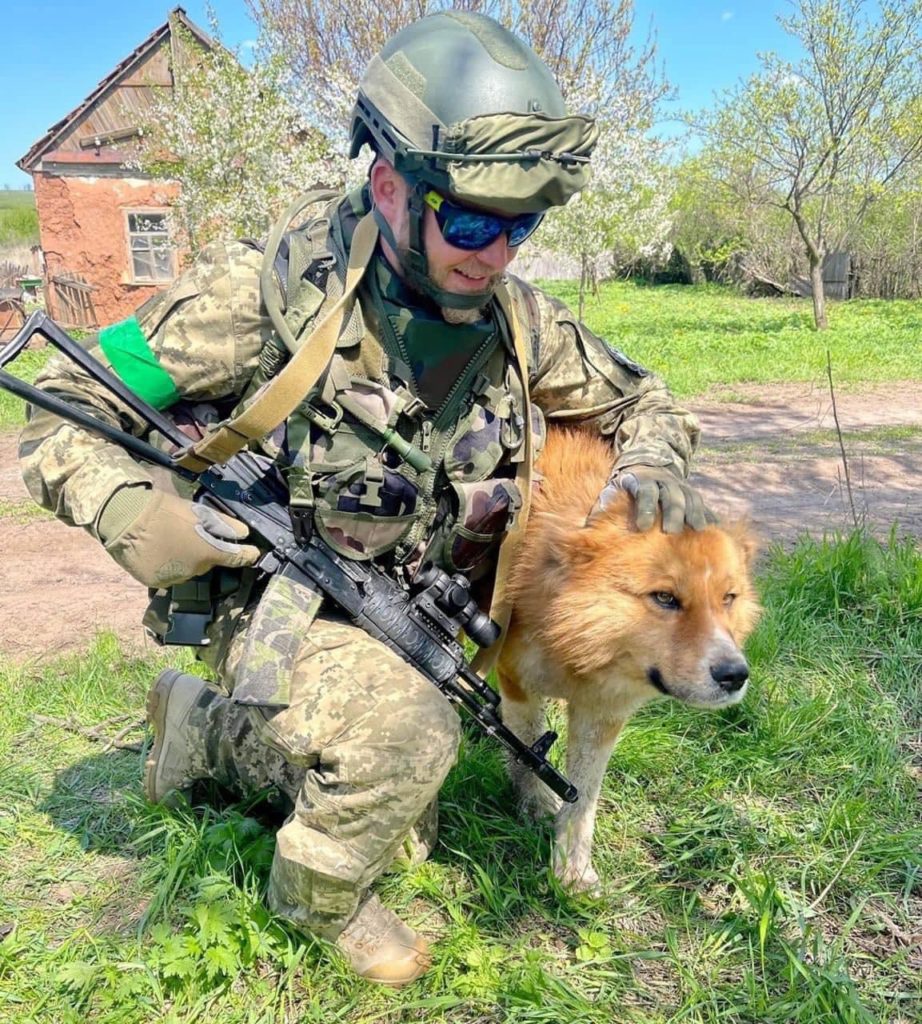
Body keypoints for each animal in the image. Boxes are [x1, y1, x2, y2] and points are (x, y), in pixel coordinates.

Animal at [499, 428, 758, 892]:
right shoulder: (516, 681)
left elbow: (582, 795)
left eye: (728, 598)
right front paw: (534, 804)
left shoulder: (604, 712)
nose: (735, 675)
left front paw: (571, 870)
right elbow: (528, 753)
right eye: (665, 598)